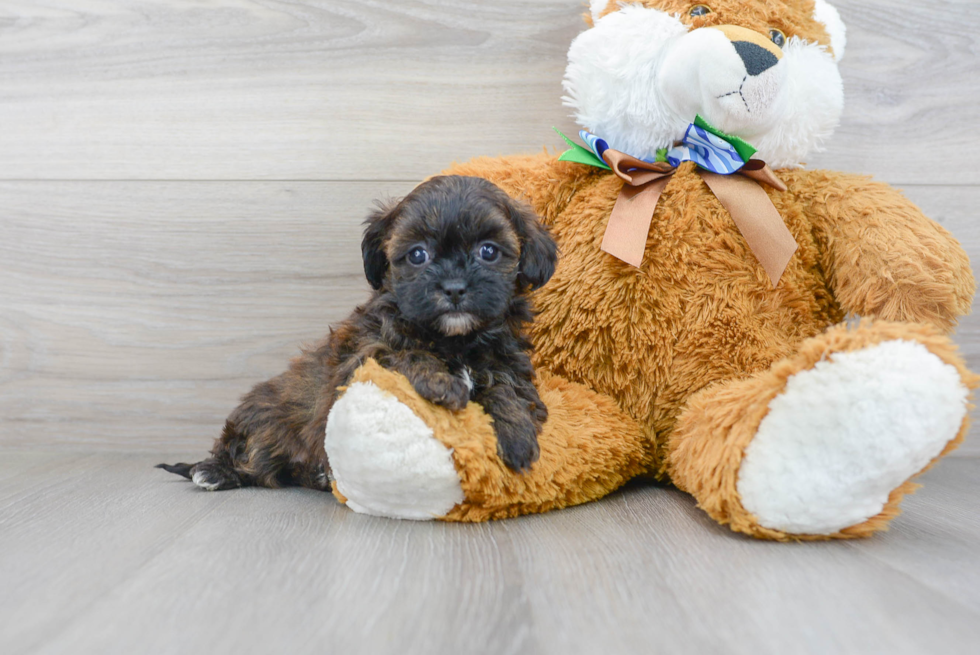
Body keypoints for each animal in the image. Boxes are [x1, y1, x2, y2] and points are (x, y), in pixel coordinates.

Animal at [160, 176, 560, 492]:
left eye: (488, 251)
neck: (455, 340)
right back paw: (213, 472)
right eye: (418, 255)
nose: (454, 287)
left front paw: (517, 436)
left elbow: (508, 388)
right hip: (263, 419)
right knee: (247, 455)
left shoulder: (508, 361)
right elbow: (401, 352)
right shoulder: (360, 354)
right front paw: (441, 383)